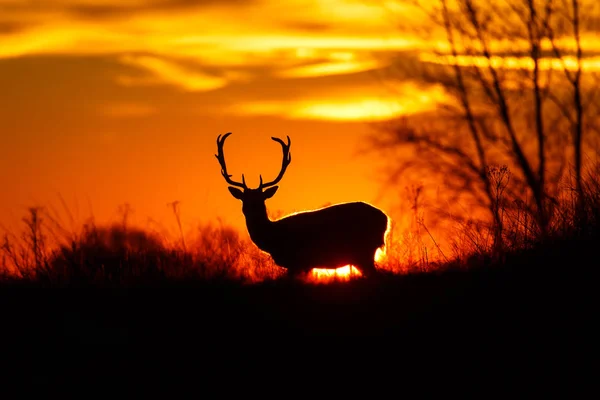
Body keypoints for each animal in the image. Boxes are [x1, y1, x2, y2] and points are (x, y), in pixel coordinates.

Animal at [216, 131, 390, 278]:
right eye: (244, 199)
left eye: (261, 199)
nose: (250, 209)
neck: (273, 237)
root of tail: (386, 219)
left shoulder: (300, 261)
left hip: (363, 250)